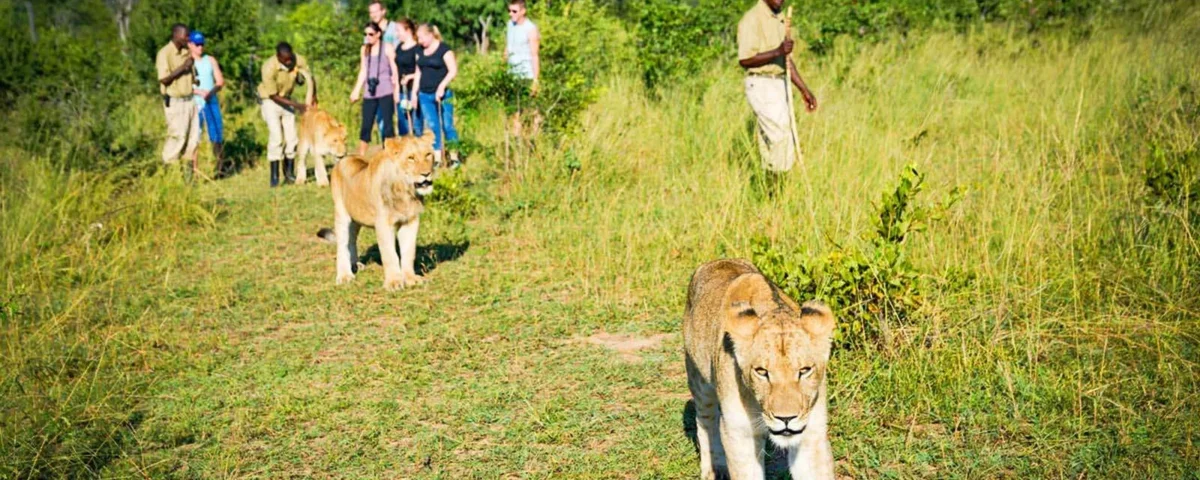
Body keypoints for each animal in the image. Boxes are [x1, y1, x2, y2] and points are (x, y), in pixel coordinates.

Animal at [329, 132, 435, 291]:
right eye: (411, 158)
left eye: (428, 155)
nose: (426, 174)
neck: (405, 192)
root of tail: (345, 158)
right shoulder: (383, 225)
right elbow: (390, 254)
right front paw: (394, 283)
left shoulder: (410, 221)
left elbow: (408, 252)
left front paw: (411, 279)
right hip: (341, 213)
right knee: (342, 244)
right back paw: (345, 276)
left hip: (356, 219)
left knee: (352, 240)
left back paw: (356, 265)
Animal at [683, 259, 836, 480]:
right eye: (762, 372)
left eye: (805, 370)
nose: (786, 419)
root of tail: (719, 260)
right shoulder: (740, 433)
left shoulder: (812, 433)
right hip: (699, 379)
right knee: (705, 420)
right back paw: (714, 469)